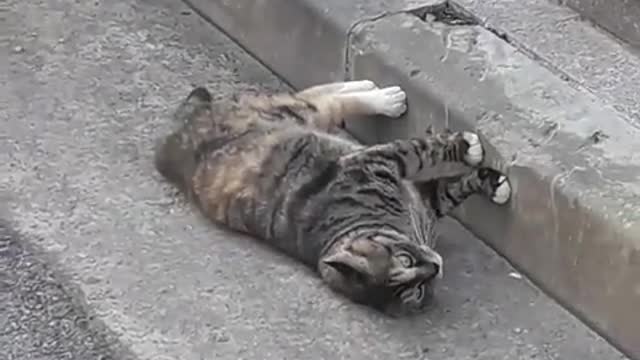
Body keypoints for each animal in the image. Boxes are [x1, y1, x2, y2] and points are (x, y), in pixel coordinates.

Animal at [155, 79, 510, 316]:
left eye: (406, 261)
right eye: (415, 289)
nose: (436, 266)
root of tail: (174, 137)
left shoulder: (401, 181)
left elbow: (445, 174)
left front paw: (490, 178)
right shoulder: (388, 168)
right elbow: (429, 159)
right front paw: (470, 150)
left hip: (291, 115)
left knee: (316, 96)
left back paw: (376, 92)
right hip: (293, 114)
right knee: (325, 102)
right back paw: (383, 97)